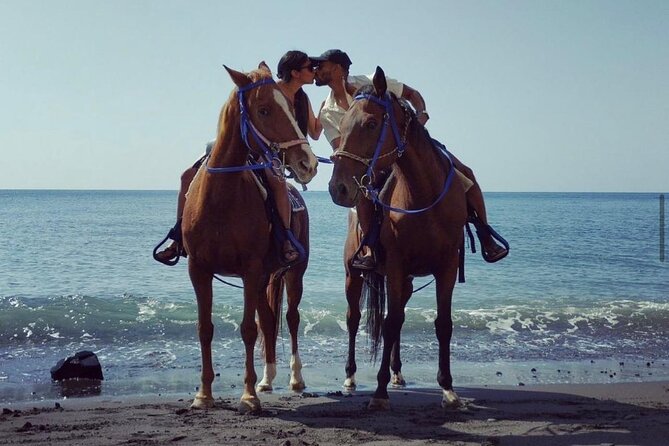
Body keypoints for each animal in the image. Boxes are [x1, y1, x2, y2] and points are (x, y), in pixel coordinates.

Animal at [181, 62, 318, 414]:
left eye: (291, 110)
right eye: (264, 109)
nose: (308, 163)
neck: (219, 200)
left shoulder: (250, 268)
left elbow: (247, 329)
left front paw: (247, 397)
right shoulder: (199, 270)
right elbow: (205, 328)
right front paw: (204, 394)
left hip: (293, 274)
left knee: (291, 318)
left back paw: (295, 378)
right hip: (264, 279)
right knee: (268, 319)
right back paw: (267, 379)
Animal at [328, 67, 468, 410]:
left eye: (371, 124)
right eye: (342, 126)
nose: (338, 188)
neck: (424, 197)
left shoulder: (445, 267)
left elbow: (442, 324)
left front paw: (448, 388)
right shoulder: (394, 267)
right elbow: (388, 323)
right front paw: (378, 393)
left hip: (405, 282)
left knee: (400, 319)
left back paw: (397, 372)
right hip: (354, 275)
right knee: (354, 319)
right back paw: (351, 376)